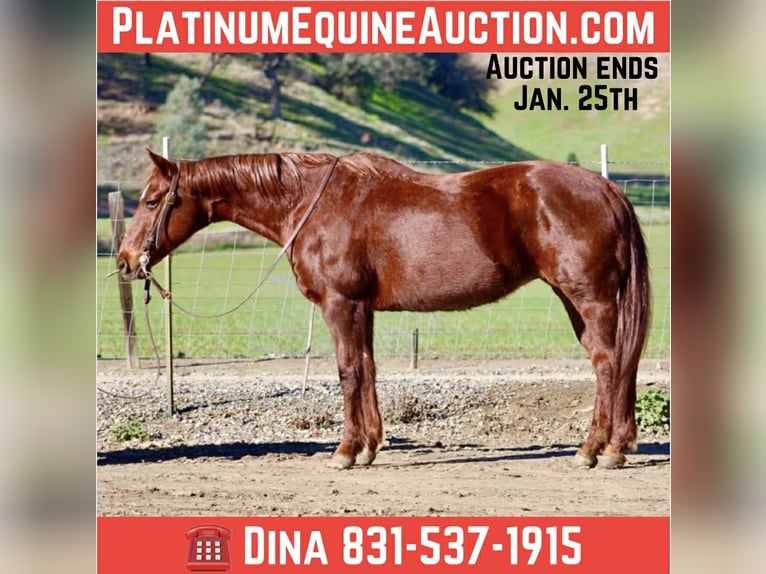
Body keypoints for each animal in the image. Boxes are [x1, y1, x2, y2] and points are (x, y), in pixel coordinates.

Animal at [118, 149, 650, 470]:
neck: (313, 203)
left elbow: (348, 371)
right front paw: (371, 445)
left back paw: (598, 450)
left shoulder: (341, 304)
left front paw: (346, 451)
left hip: (587, 298)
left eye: (151, 201)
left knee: (609, 365)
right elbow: (369, 369)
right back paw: (615, 445)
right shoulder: (363, 309)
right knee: (615, 365)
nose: (124, 260)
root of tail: (607, 189)